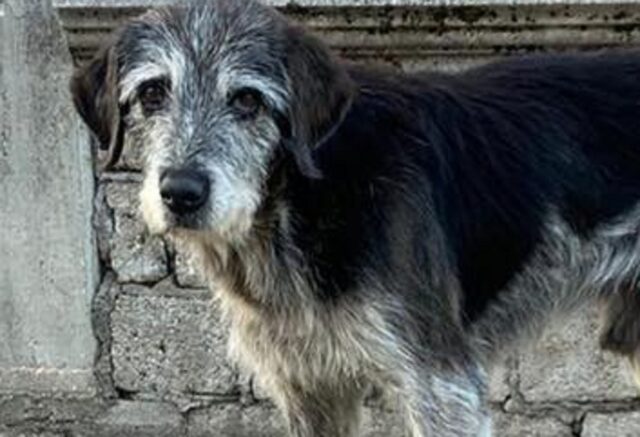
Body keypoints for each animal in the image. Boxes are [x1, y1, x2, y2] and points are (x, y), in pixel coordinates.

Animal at [69, 1, 640, 434]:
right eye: (152, 92)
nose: (182, 192)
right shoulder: (309, 389)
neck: (307, 199)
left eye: (248, 99)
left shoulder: (442, 384)